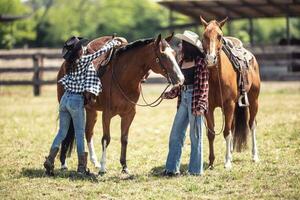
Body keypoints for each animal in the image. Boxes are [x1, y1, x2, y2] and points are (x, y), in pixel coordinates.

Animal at [57, 34, 184, 173]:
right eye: (162, 55)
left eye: (174, 53)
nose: (180, 79)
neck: (122, 78)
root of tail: (64, 66)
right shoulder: (107, 114)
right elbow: (106, 139)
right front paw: (103, 168)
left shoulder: (129, 114)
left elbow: (124, 139)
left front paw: (124, 167)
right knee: (65, 133)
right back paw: (64, 164)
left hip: (91, 111)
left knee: (88, 133)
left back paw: (95, 162)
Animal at [202, 16, 260, 169]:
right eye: (204, 35)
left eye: (219, 36)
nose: (210, 59)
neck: (216, 78)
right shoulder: (209, 107)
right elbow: (211, 133)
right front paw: (211, 161)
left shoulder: (228, 105)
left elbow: (227, 132)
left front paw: (227, 162)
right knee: (234, 125)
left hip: (253, 101)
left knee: (252, 124)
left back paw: (255, 156)